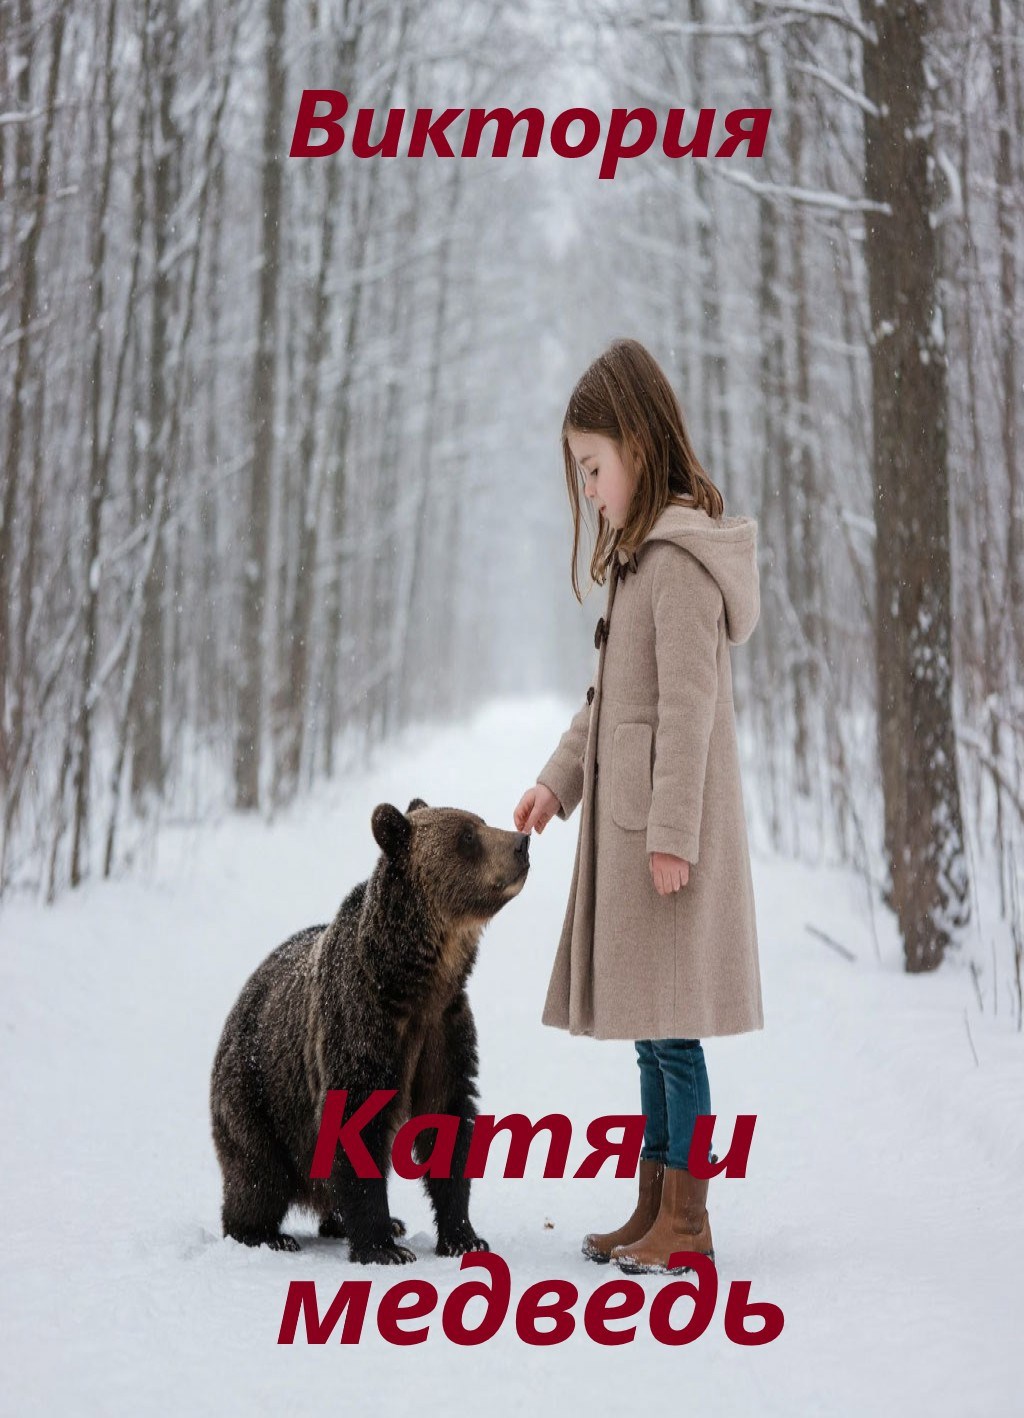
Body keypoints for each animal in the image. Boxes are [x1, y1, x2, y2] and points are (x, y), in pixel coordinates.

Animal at [209, 798, 530, 1262]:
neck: (418, 982)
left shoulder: (444, 1030)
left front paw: (463, 1237)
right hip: (258, 1094)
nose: (522, 842)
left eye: (481, 822)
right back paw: (266, 1234)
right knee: (258, 1174)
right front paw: (383, 1247)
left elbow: (448, 1120)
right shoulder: (361, 1027)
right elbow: (355, 1125)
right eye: (467, 837)